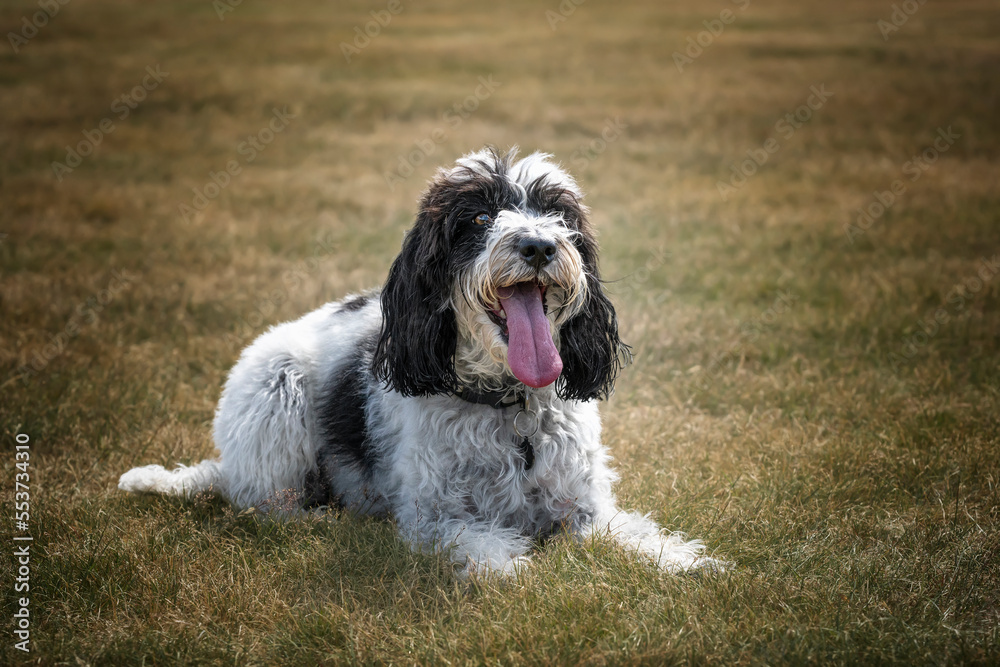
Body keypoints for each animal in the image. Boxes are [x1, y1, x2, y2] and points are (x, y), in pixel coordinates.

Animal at [121, 149, 724, 576]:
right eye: (478, 217)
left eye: (555, 212)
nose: (538, 246)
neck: (506, 408)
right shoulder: (436, 518)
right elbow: (488, 550)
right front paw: (516, 567)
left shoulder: (584, 507)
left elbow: (628, 533)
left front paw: (685, 561)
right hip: (276, 393)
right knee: (263, 504)